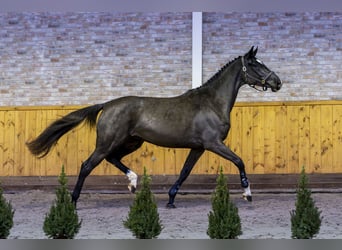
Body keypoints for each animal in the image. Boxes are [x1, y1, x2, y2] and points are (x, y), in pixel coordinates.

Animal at [26, 46, 282, 207]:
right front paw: (248, 195)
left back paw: (133, 183)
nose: (277, 82)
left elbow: (185, 171)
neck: (212, 102)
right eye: (255, 65)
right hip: (108, 142)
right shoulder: (213, 143)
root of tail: (107, 105)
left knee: (112, 158)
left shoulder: (198, 147)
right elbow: (239, 161)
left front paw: (170, 199)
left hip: (132, 142)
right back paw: (74, 200)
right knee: (87, 165)